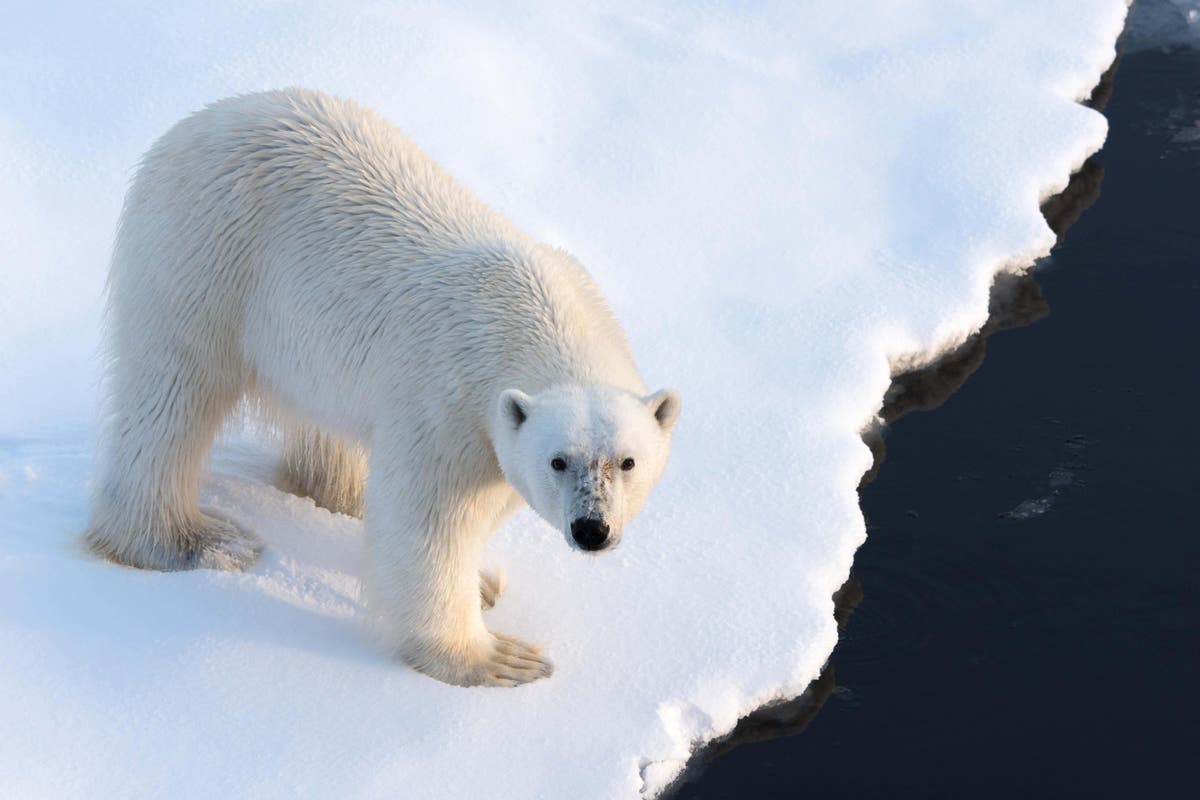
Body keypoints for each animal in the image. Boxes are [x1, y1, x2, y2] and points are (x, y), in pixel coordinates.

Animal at [87, 87, 681, 690]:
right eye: (559, 460)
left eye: (627, 461)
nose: (591, 529)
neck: (536, 311)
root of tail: (201, 120)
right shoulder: (448, 400)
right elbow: (431, 522)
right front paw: (497, 659)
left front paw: (482, 582)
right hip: (204, 258)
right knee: (172, 396)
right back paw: (189, 541)